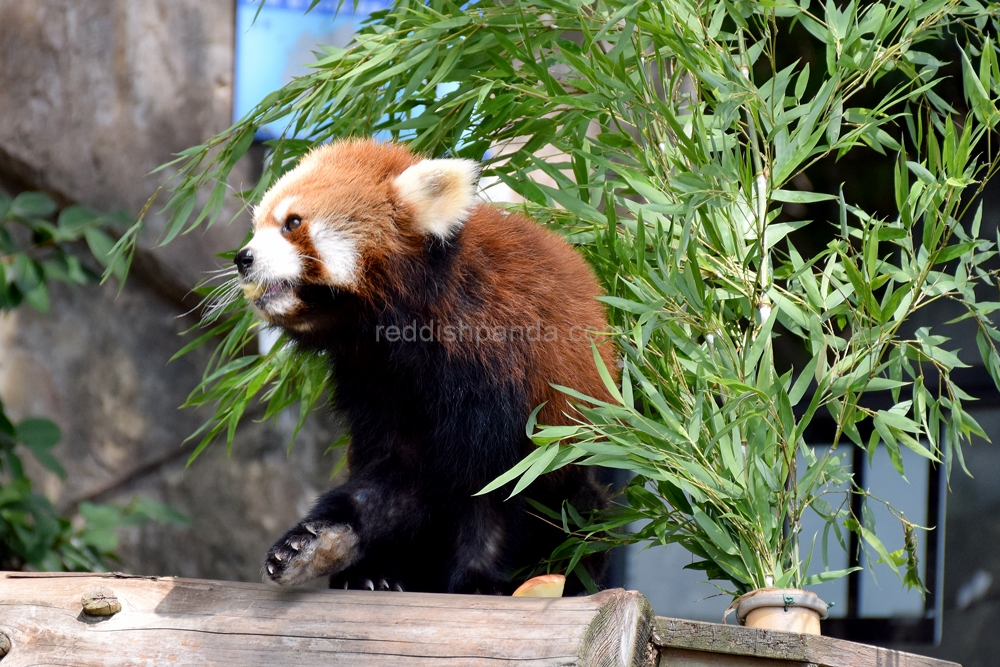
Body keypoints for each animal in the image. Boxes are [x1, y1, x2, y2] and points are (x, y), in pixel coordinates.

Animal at [240, 138, 616, 592]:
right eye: (257, 225)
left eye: (292, 223)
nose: (243, 258)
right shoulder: (375, 384)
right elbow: (395, 478)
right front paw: (317, 544)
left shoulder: (497, 366)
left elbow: (495, 486)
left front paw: (476, 579)